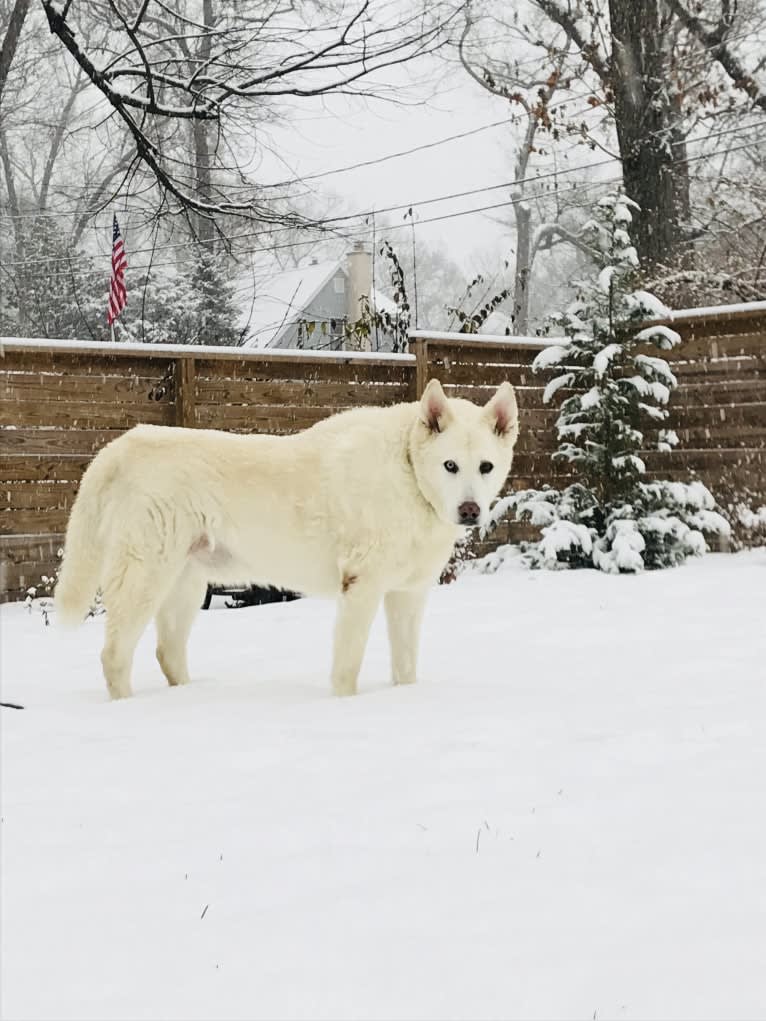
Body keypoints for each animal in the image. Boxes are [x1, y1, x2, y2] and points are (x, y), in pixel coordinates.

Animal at [55, 379, 522, 698]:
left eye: (485, 467)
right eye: (449, 466)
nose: (470, 511)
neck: (409, 475)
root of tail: (125, 444)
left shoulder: (408, 593)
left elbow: (405, 667)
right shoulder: (361, 586)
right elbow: (347, 666)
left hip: (186, 583)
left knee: (166, 652)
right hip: (146, 575)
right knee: (115, 654)